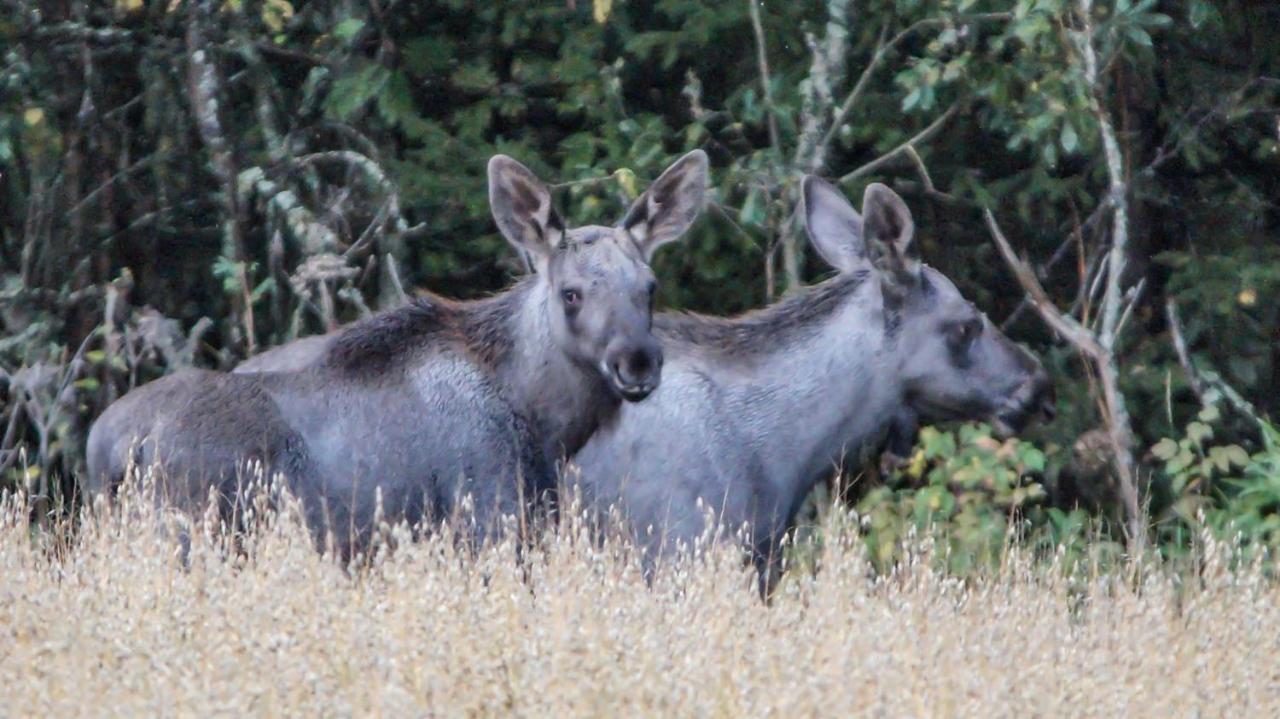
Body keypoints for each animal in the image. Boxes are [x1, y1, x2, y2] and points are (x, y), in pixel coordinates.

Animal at [87, 149, 711, 555]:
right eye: (572, 292)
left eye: (649, 286)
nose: (638, 360)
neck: (545, 425)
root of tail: (108, 446)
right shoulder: (489, 517)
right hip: (196, 529)